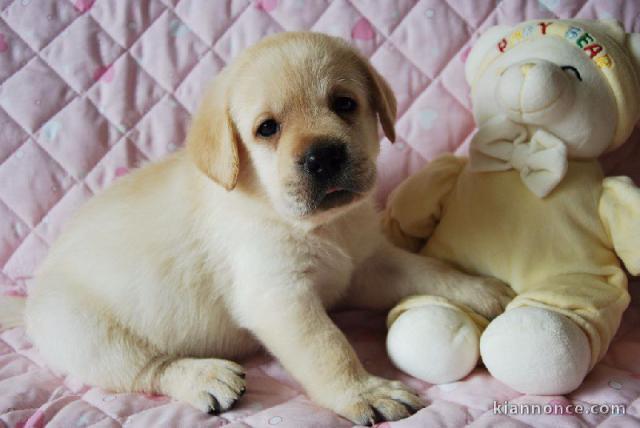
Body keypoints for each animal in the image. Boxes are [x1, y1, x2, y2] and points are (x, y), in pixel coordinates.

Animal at [21, 33, 516, 424]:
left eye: (345, 103)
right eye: (266, 129)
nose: (324, 156)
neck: (317, 227)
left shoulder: (368, 265)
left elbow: (428, 270)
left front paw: (477, 289)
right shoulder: (281, 299)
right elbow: (329, 348)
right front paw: (363, 392)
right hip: (90, 336)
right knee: (149, 369)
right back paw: (205, 376)